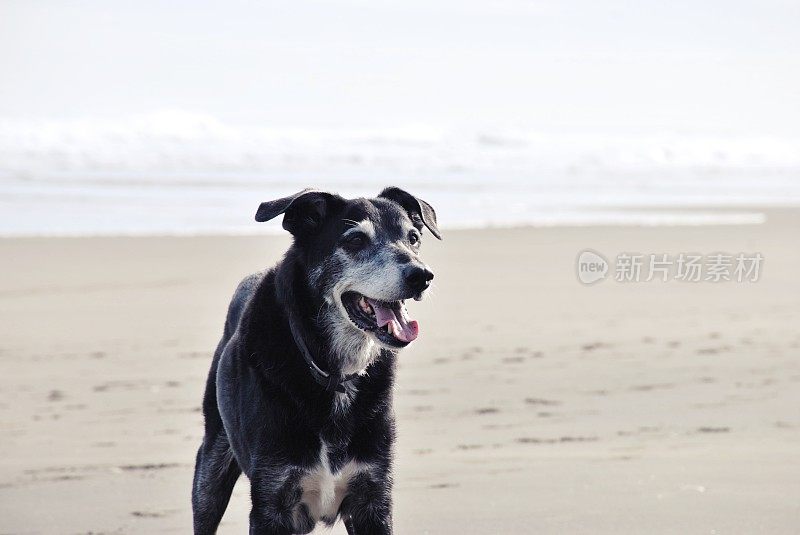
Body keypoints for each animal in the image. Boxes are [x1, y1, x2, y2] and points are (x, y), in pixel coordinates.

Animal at [193, 186, 440, 532]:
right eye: (355, 240)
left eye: (413, 237)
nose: (422, 276)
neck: (336, 375)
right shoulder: (272, 503)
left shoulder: (373, 498)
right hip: (210, 468)